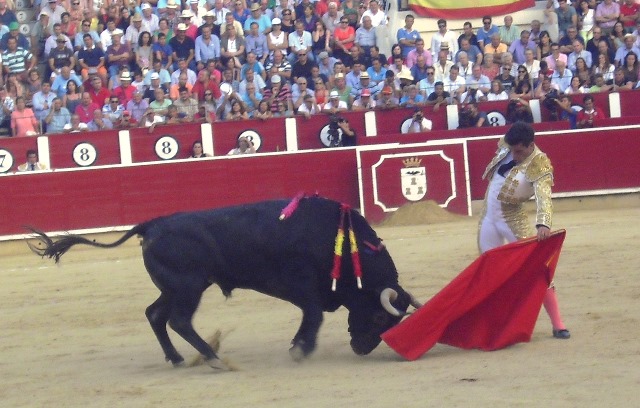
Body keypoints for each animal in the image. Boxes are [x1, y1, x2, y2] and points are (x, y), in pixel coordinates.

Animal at [28, 196, 420, 368]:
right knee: (178, 320)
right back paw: (212, 356)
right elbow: (314, 316)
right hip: (188, 288)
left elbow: (313, 316)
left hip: (176, 288)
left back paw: (177, 358)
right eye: (381, 316)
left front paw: (298, 346)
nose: (362, 348)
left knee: (155, 315)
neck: (340, 240)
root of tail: (152, 225)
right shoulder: (303, 288)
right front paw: (300, 349)